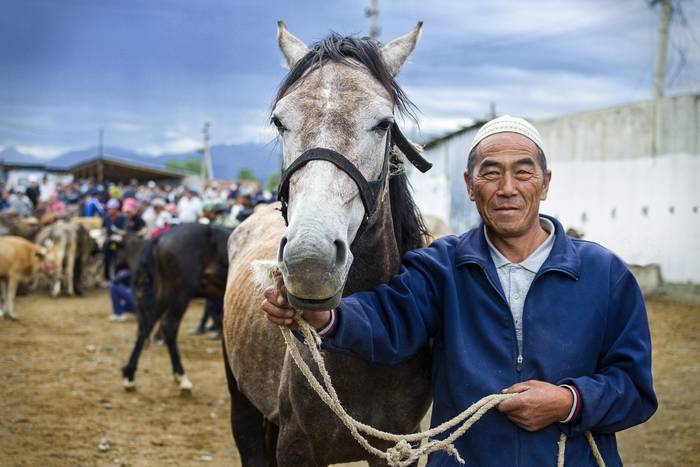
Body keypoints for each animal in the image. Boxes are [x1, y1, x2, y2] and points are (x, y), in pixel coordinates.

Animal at [121, 224, 230, 394]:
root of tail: (160, 238)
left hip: (166, 292)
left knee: (147, 324)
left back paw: (130, 376)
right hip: (181, 292)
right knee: (169, 325)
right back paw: (182, 377)